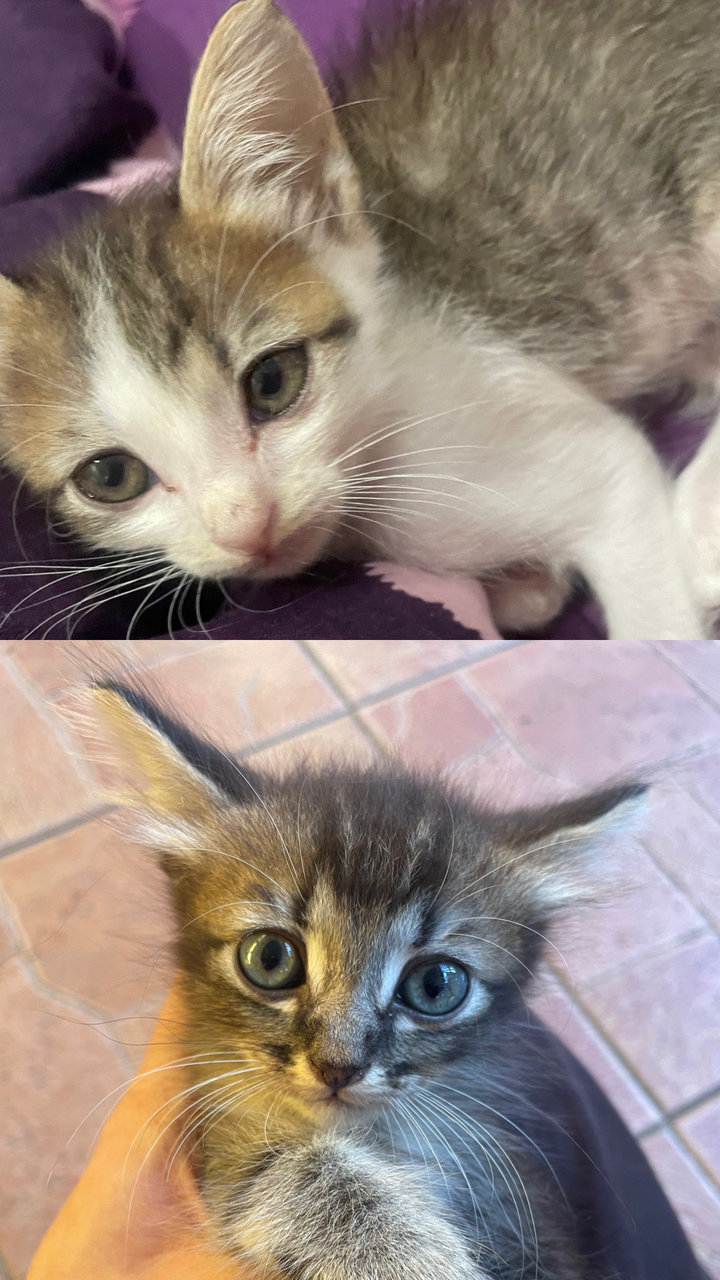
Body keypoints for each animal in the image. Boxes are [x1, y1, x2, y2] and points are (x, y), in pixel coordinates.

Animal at [1, 0, 717, 640]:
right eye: (110, 477)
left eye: (272, 382)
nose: (246, 525)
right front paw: (530, 581)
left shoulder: (580, 458)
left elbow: (647, 593)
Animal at [90, 686, 645, 1274]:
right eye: (270, 959)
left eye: (436, 986)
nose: (338, 1066)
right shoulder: (223, 1137)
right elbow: (289, 1167)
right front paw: (406, 1256)